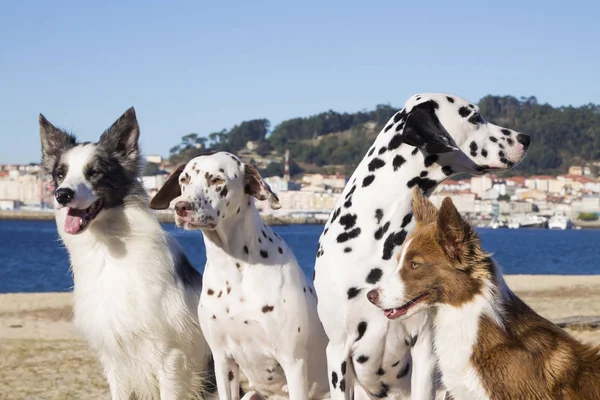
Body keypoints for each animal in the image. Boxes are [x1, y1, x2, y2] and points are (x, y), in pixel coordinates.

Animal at [149, 152, 328, 400]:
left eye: (217, 180)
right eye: (184, 180)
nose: (181, 206)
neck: (233, 270)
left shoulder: (293, 361)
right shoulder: (223, 360)